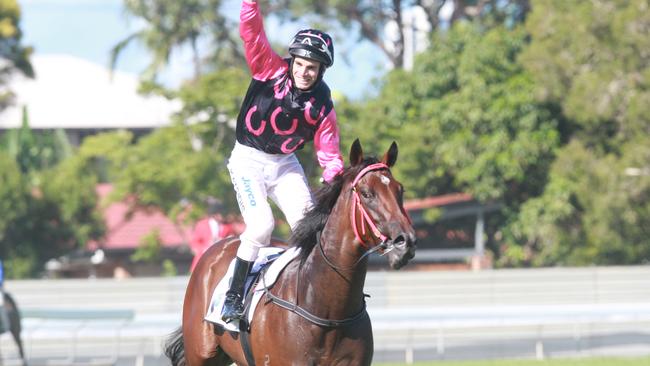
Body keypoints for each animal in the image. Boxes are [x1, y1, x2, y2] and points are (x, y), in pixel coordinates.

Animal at [163, 139, 416, 364]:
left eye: (400, 190)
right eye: (366, 193)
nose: (406, 242)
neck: (328, 310)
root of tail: (218, 247)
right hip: (200, 355)